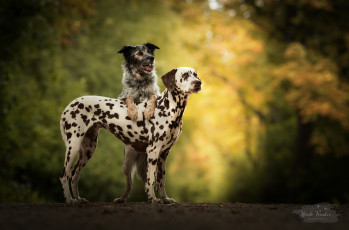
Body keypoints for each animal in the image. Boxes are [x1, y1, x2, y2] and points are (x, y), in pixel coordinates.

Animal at [59, 67, 201, 204]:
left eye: (195, 74)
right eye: (184, 75)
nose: (198, 83)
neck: (167, 109)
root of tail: (69, 105)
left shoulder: (164, 154)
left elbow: (161, 181)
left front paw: (165, 199)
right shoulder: (153, 152)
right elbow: (150, 180)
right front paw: (153, 199)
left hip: (89, 150)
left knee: (75, 175)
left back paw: (78, 199)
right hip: (74, 147)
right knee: (64, 175)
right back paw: (69, 200)